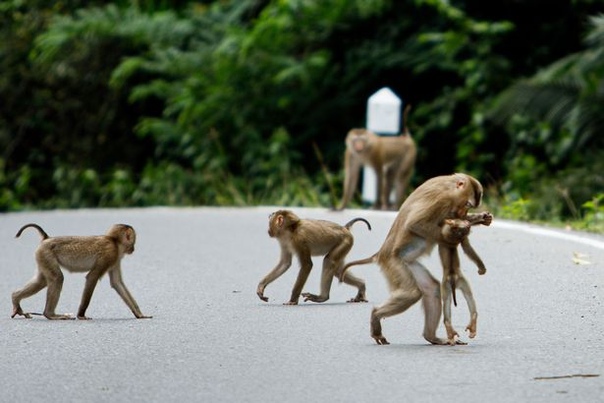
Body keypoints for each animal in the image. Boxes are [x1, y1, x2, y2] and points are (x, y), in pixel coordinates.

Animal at [12, 223, 151, 320]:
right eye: (133, 240)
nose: (133, 248)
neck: (114, 241)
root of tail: (46, 239)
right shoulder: (110, 254)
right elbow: (92, 277)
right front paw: (81, 315)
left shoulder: (115, 258)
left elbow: (117, 283)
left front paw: (139, 314)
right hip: (46, 254)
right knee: (57, 278)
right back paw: (50, 314)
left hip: (42, 256)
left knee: (42, 281)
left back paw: (15, 298)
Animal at [336, 174, 490, 348]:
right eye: (467, 204)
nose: (464, 212)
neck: (450, 187)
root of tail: (380, 253)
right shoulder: (441, 199)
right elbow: (415, 224)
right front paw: (457, 232)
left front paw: (480, 218)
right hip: (393, 263)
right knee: (411, 293)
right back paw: (376, 316)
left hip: (407, 262)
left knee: (432, 288)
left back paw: (432, 337)